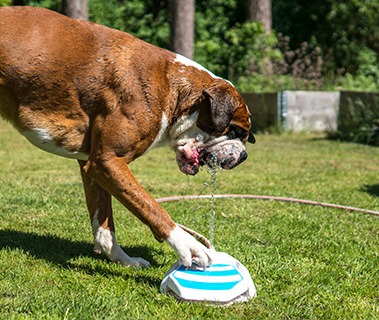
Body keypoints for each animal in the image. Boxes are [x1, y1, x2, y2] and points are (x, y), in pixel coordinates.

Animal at [0, 6, 255, 268]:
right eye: (237, 131)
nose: (244, 156)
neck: (173, 89)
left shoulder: (93, 164)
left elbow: (104, 225)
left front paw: (122, 259)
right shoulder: (108, 162)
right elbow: (151, 207)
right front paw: (188, 245)